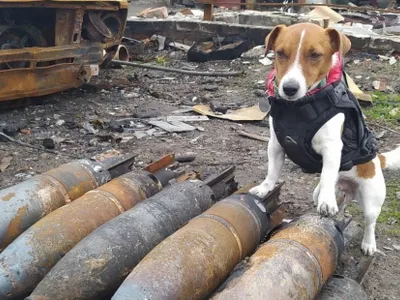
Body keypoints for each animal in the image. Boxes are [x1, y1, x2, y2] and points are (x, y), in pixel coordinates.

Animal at [250, 22, 400, 255]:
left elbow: (328, 174)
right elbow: (272, 172)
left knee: (370, 222)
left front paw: (327, 202)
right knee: (338, 201)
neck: (298, 109)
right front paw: (265, 187)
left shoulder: (331, 149)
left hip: (372, 200)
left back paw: (368, 243)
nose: (289, 89)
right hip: (324, 192)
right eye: (280, 53)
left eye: (315, 55)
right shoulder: (276, 145)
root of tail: (378, 160)